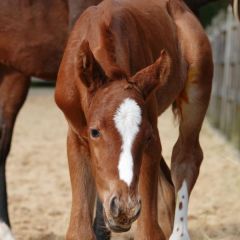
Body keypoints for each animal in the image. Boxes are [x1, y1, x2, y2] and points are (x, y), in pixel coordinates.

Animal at [56, 0, 214, 240]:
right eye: (95, 132)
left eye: (146, 137)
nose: (123, 209)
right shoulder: (76, 136)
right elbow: (79, 231)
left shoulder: (152, 139)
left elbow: (149, 231)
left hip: (198, 87)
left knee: (186, 157)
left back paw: (179, 233)